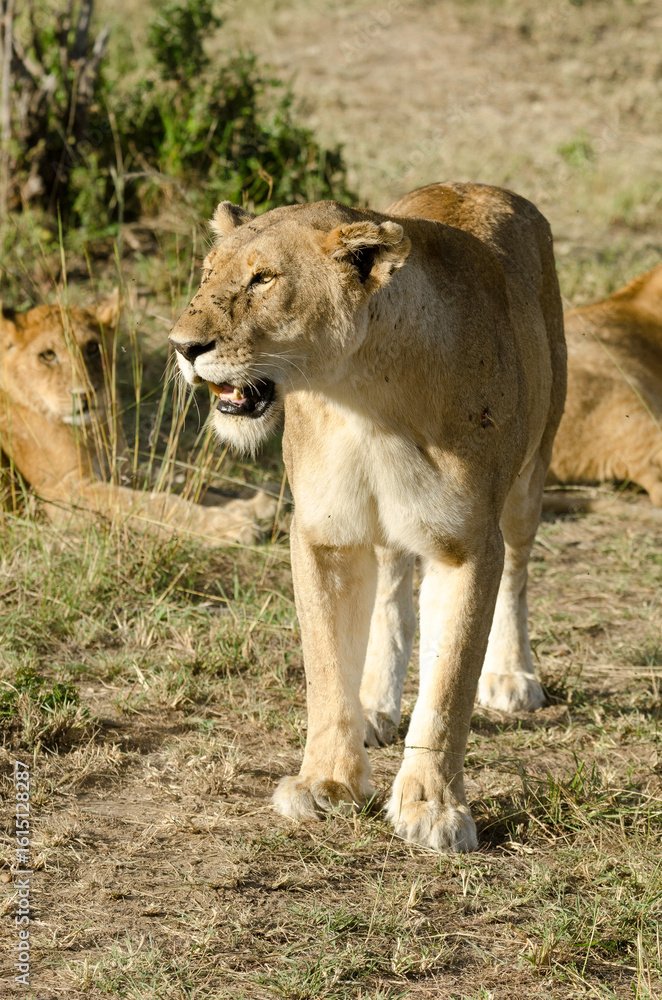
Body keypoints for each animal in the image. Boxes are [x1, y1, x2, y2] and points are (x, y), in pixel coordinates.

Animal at [0, 295, 274, 544]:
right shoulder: (63, 493)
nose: (86, 394)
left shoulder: (118, 468)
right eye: (47, 355)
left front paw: (254, 504)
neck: (91, 430)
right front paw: (231, 525)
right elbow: (153, 503)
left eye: (92, 348)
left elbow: (171, 484)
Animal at [169, 182, 566, 853]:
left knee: (517, 571)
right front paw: (327, 784)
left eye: (263, 279)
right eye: (206, 274)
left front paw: (433, 808)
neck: (364, 398)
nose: (182, 347)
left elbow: (449, 685)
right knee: (390, 595)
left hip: (530, 474)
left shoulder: (468, 544)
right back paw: (376, 705)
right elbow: (327, 670)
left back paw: (512, 676)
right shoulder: (324, 535)